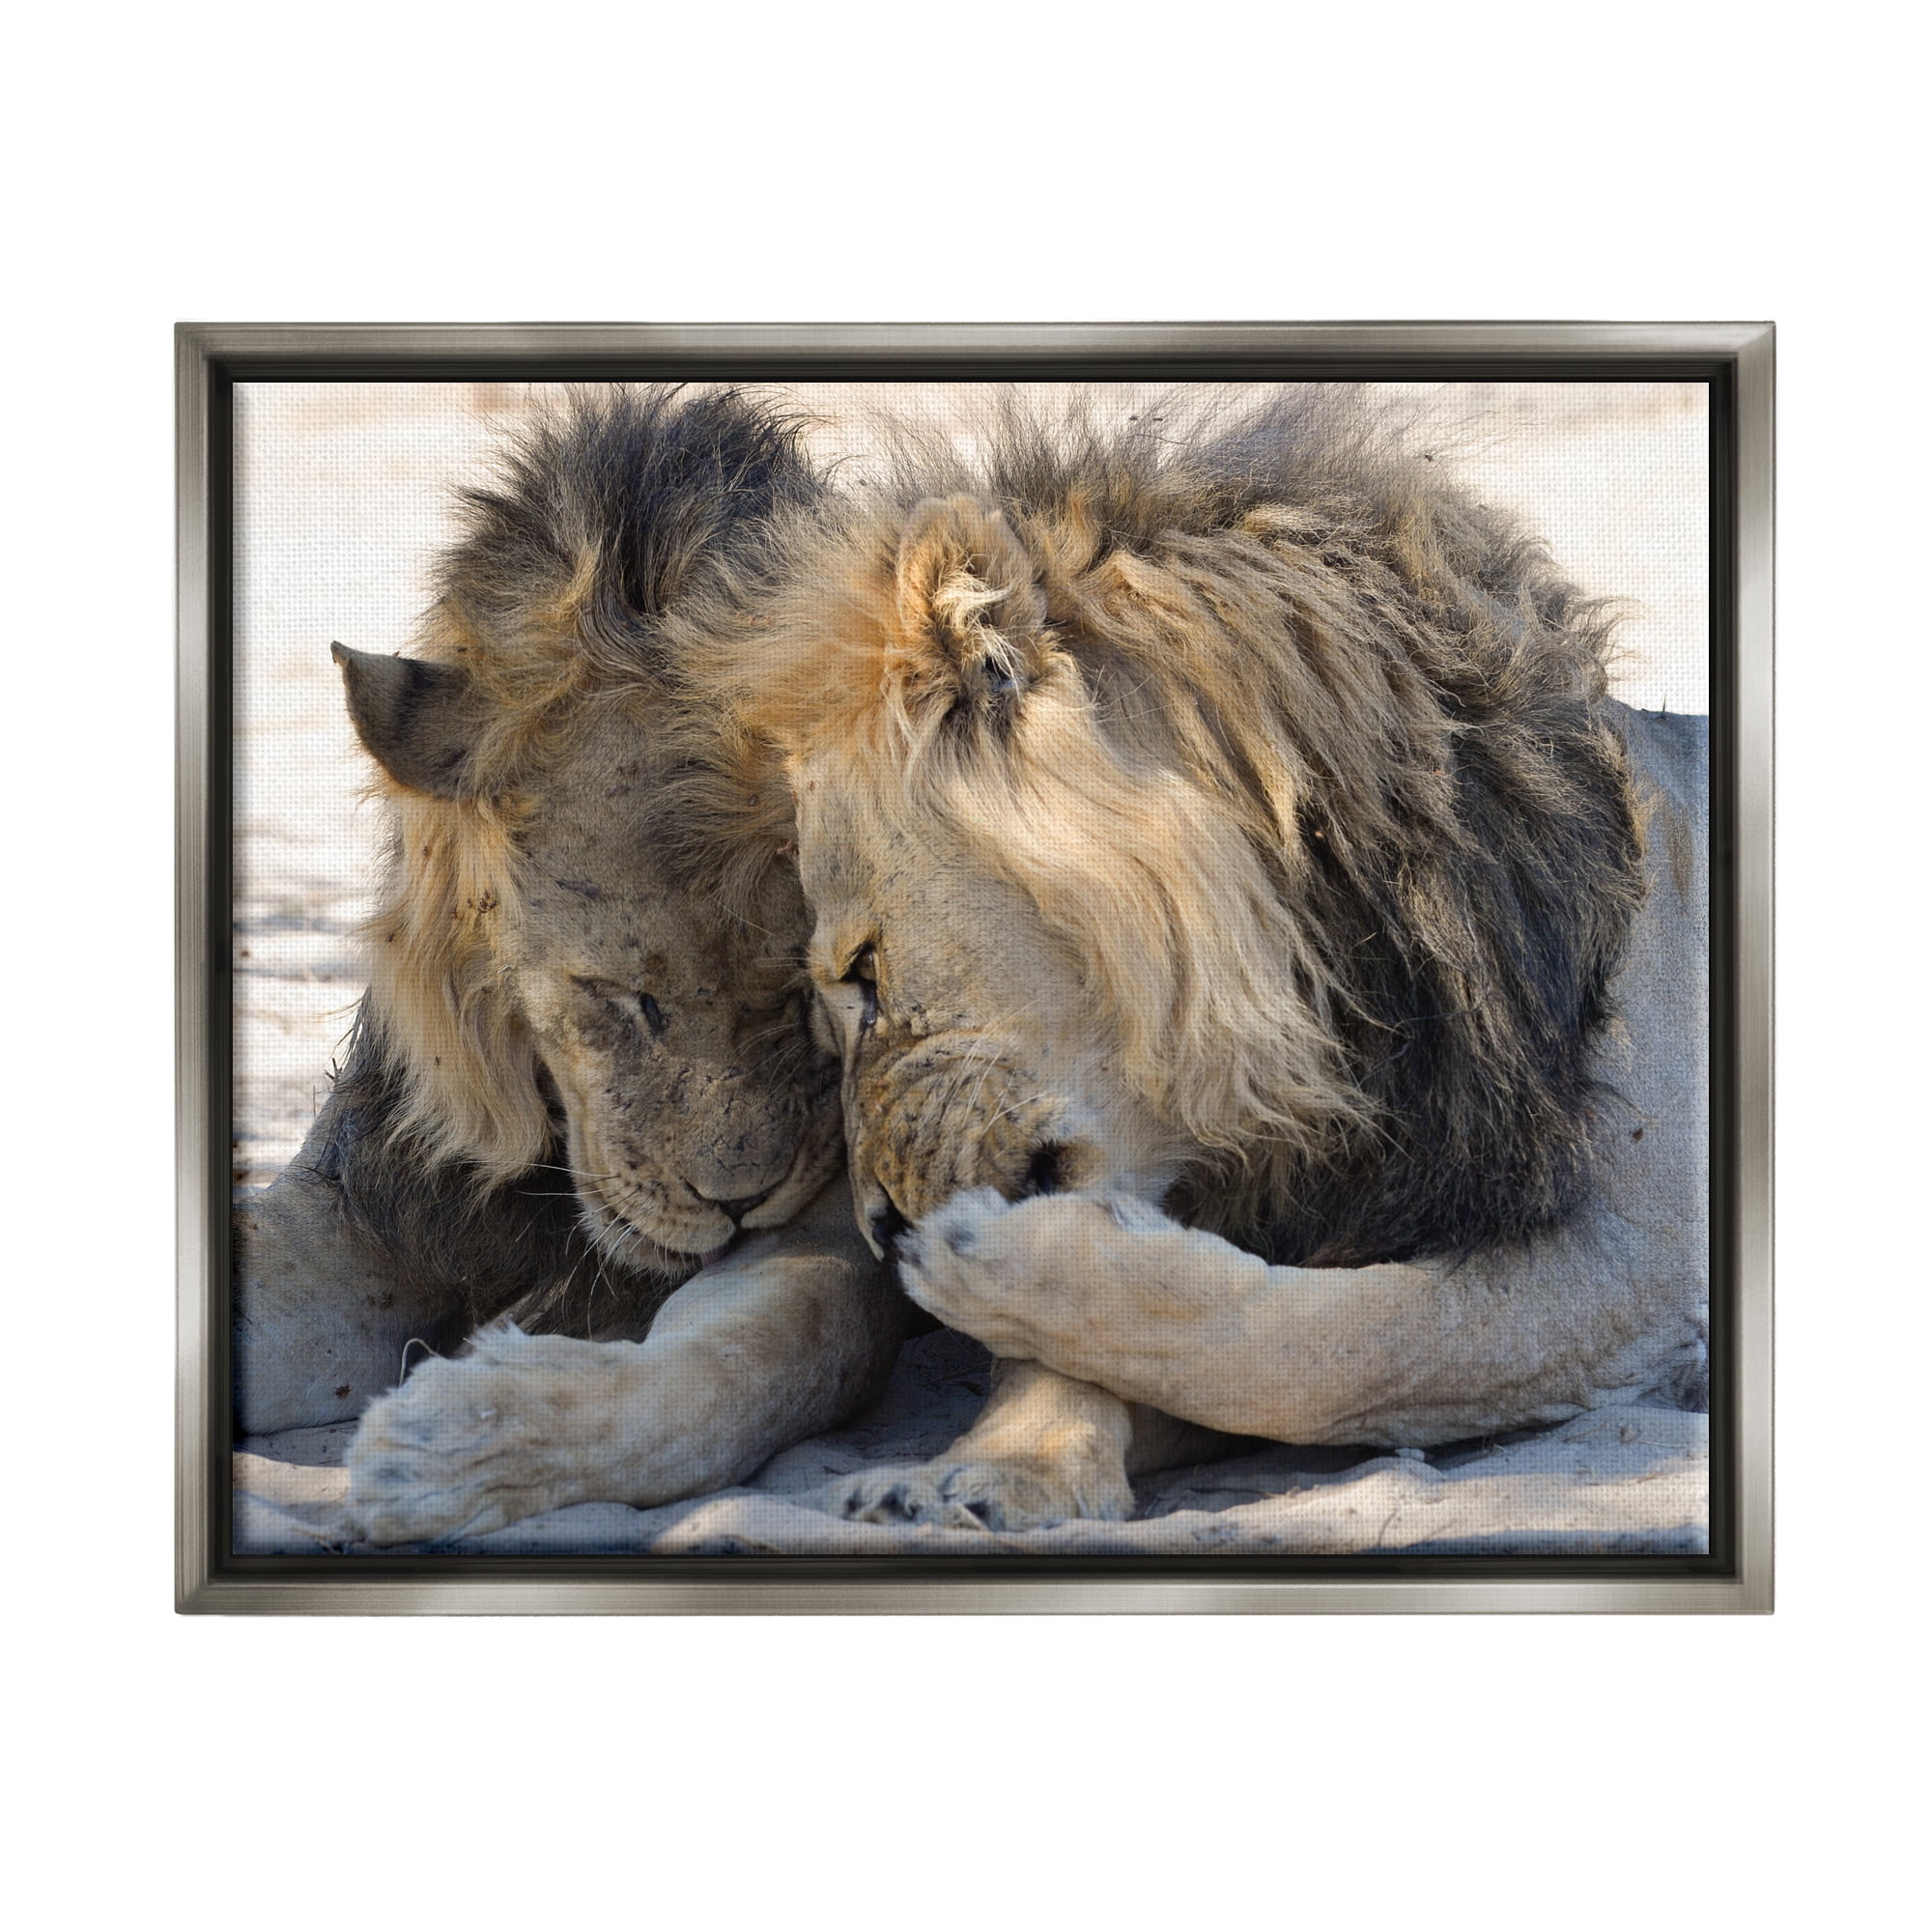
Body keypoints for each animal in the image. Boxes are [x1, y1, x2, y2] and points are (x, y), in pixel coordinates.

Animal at [233, 387, 906, 1545]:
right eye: (624, 1000)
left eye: (803, 997)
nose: (739, 1201)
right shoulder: (363, 1204)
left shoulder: (831, 1233)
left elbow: (760, 1357)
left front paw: (461, 1444)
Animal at [706, 387, 1710, 1533]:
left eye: (865, 972)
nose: (875, 1231)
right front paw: (997, 1466)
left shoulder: (1642, 1258)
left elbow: (1343, 1346)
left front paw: (992, 1269)